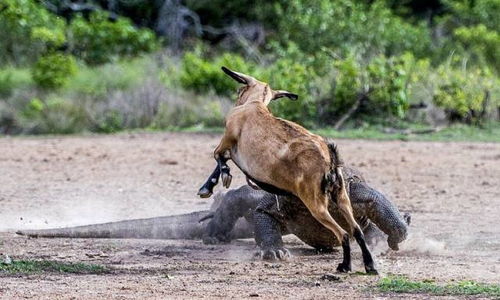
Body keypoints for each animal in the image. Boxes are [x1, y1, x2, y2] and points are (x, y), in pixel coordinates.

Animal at [197, 67, 376, 274]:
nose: (236, 100)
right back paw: (370, 266)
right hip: (341, 197)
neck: (255, 104)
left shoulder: (227, 141)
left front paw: (213, 183)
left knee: (344, 234)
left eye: (239, 90)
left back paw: (345, 266)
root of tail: (329, 159)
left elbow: (218, 158)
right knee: (357, 231)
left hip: (316, 203)